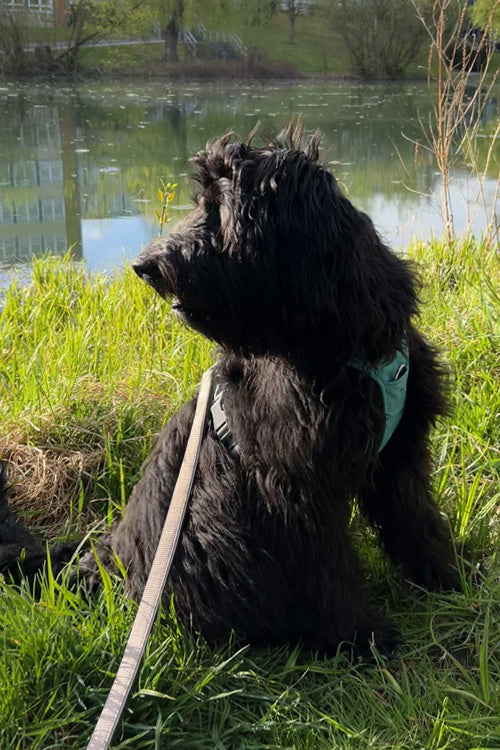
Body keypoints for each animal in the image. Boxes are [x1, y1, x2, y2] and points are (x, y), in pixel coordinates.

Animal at [1, 124, 460, 654]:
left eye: (218, 209)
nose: (143, 265)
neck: (338, 348)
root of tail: (109, 562)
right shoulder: (294, 486)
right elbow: (327, 569)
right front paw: (359, 635)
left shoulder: (399, 452)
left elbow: (416, 520)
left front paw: (446, 578)